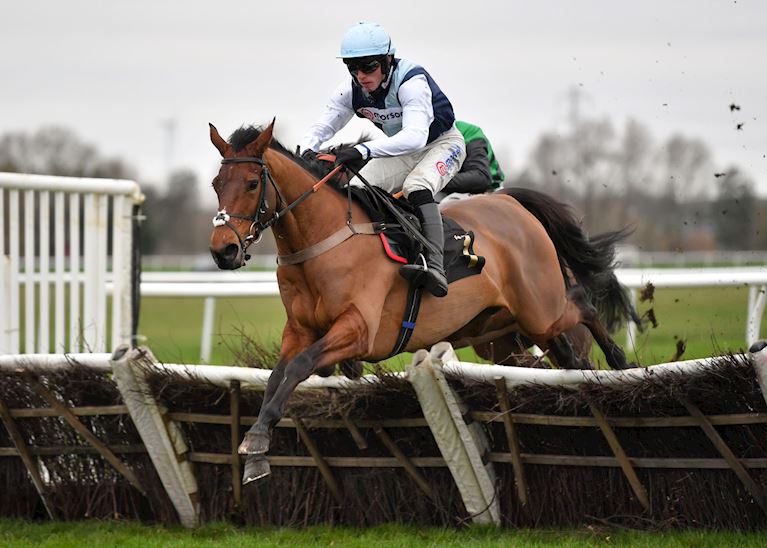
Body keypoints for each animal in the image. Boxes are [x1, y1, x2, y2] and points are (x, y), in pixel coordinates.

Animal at [208, 121, 636, 484]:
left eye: (252, 183)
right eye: (215, 183)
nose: (223, 251)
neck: (324, 239)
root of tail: (512, 204)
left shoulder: (359, 330)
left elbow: (300, 366)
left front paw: (257, 440)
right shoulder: (299, 330)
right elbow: (278, 376)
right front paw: (257, 445)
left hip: (540, 309)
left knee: (583, 304)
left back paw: (620, 362)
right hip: (502, 334)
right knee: (561, 356)